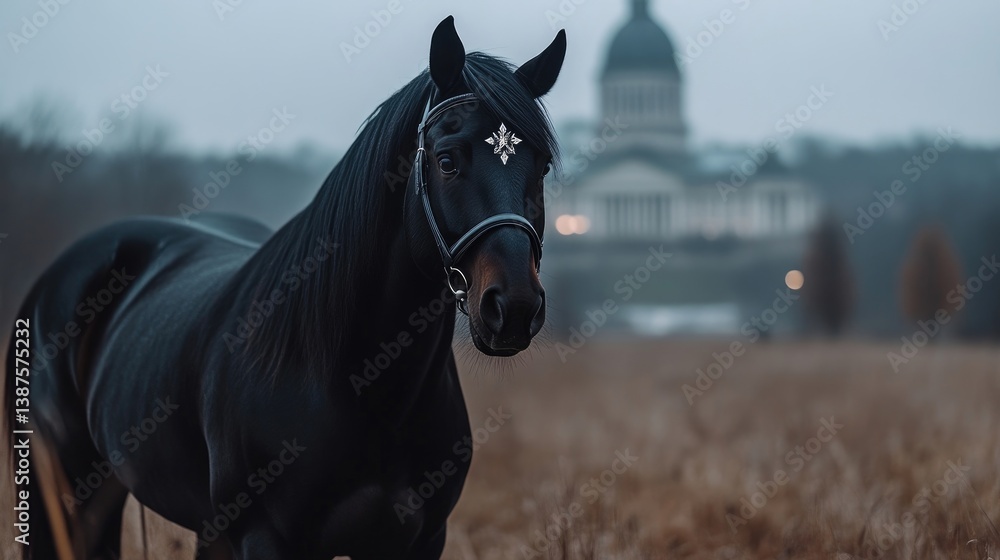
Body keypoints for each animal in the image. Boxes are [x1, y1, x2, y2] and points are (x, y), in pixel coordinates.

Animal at [5, 16, 566, 560]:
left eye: (540, 166)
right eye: (447, 160)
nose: (514, 306)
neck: (353, 378)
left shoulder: (418, 540)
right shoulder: (265, 538)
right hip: (70, 494)